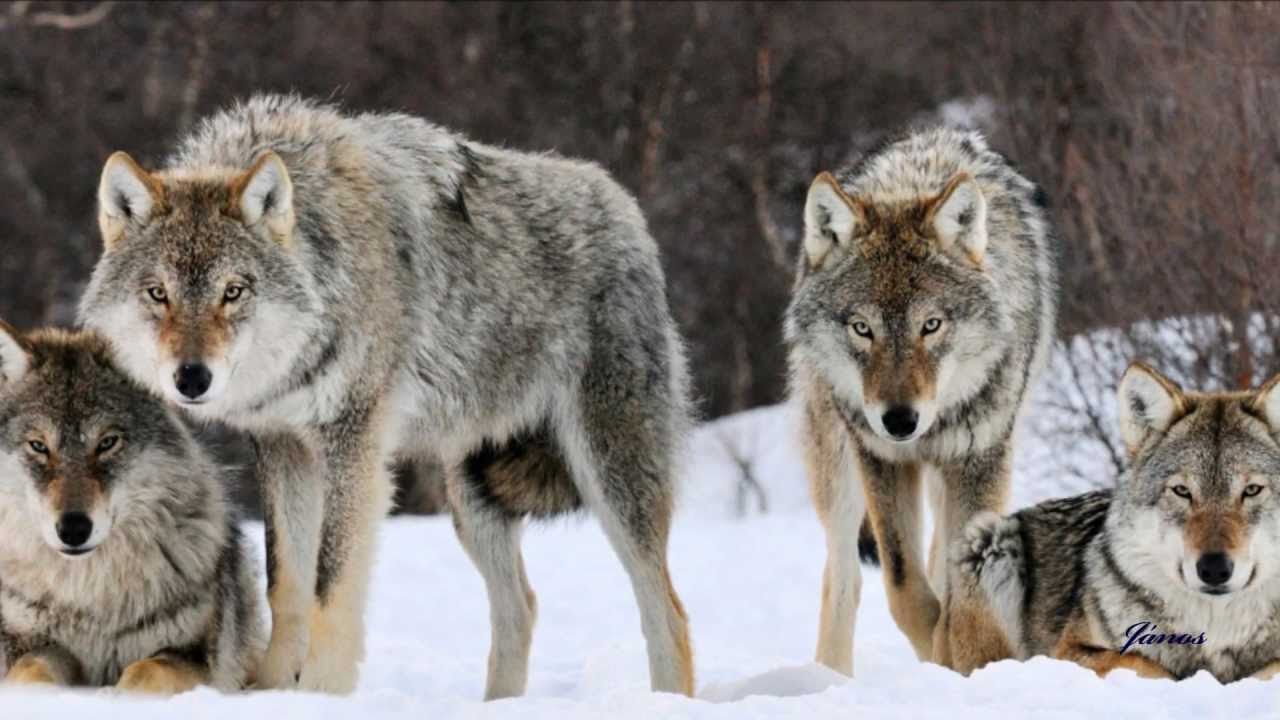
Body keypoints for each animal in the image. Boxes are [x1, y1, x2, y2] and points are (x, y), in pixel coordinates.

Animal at [0, 324, 263, 693]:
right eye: (38, 446)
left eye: (108, 442)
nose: (73, 529)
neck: (90, 596)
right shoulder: (29, 644)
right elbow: (31, 671)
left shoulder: (194, 657)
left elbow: (146, 672)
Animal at [79, 95, 695, 697]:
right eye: (158, 293)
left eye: (233, 292)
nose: (191, 378)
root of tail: (625, 207)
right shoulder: (283, 447)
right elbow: (286, 584)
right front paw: (272, 691)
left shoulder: (354, 444)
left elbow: (330, 585)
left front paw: (320, 695)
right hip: (472, 498)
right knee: (521, 607)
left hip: (610, 476)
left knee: (668, 610)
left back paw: (668, 697)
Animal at [784, 127, 1057, 672]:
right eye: (862, 328)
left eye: (930, 325)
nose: (899, 421)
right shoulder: (882, 459)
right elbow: (905, 587)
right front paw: (937, 652)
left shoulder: (980, 458)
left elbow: (959, 587)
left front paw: (961, 658)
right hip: (837, 468)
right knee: (842, 576)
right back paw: (829, 677)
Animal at [942, 362, 1280, 682]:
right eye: (1182, 491)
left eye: (1252, 490)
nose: (1214, 569)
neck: (1215, 634)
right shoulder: (1069, 650)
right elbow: (1146, 665)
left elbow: (1269, 668)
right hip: (988, 539)